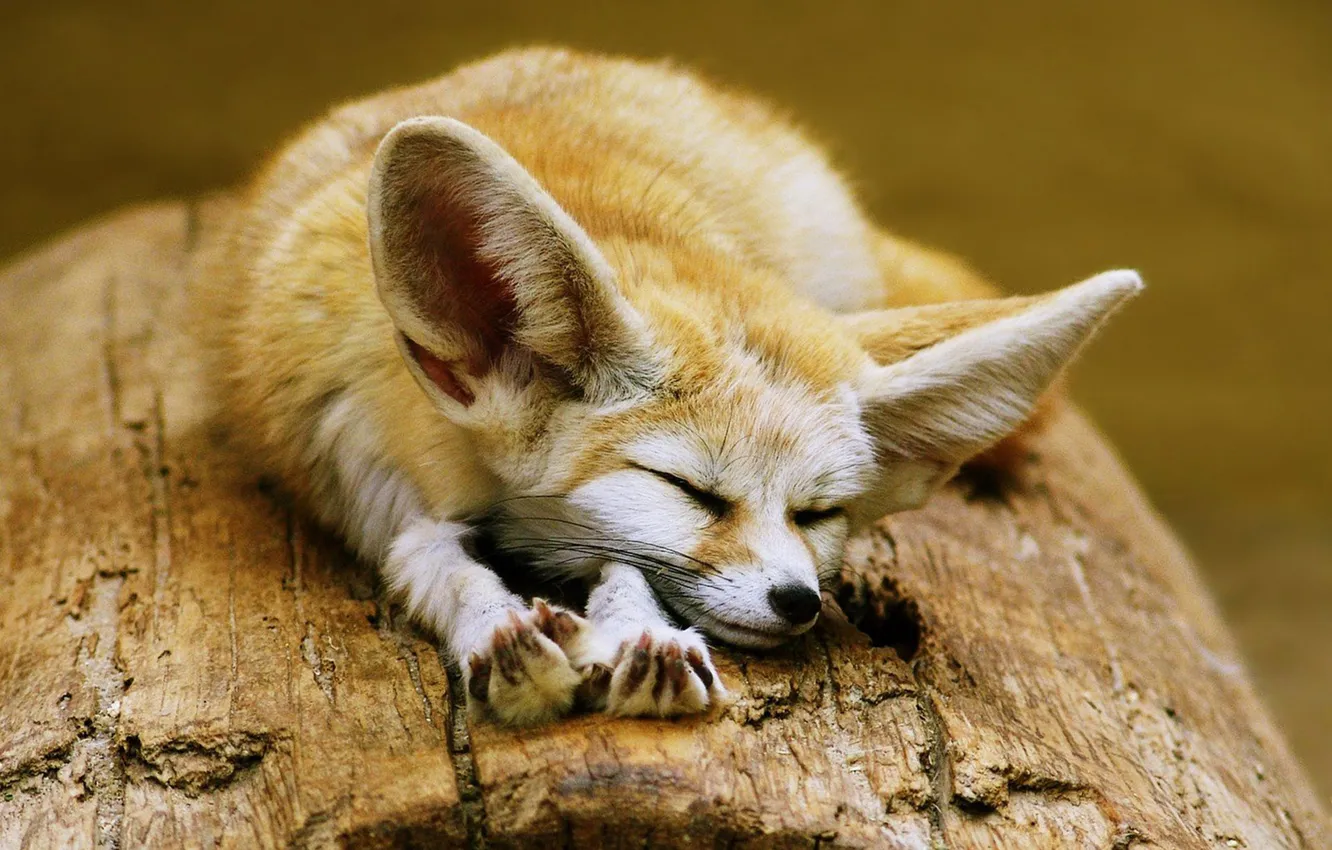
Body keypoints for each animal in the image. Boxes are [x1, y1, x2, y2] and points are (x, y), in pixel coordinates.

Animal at [195, 47, 1141, 725]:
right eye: (690, 490)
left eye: (819, 514)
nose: (798, 599)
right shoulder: (365, 477)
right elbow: (429, 559)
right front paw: (502, 633)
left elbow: (629, 564)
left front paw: (642, 634)